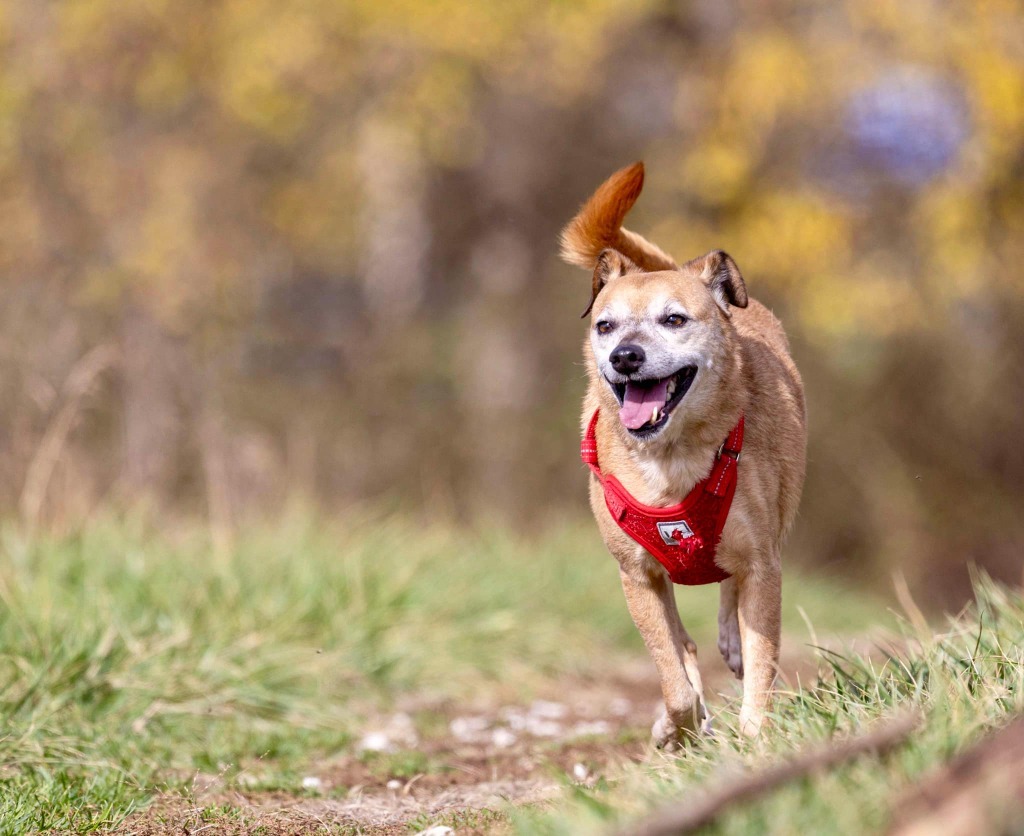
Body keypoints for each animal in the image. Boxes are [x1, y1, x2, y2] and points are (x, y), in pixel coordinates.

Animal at [561, 162, 806, 745]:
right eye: (605, 326)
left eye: (674, 320)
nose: (625, 356)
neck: (670, 460)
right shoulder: (638, 576)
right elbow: (673, 675)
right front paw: (680, 725)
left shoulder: (763, 563)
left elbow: (763, 656)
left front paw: (755, 733)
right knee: (685, 645)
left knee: (731, 598)